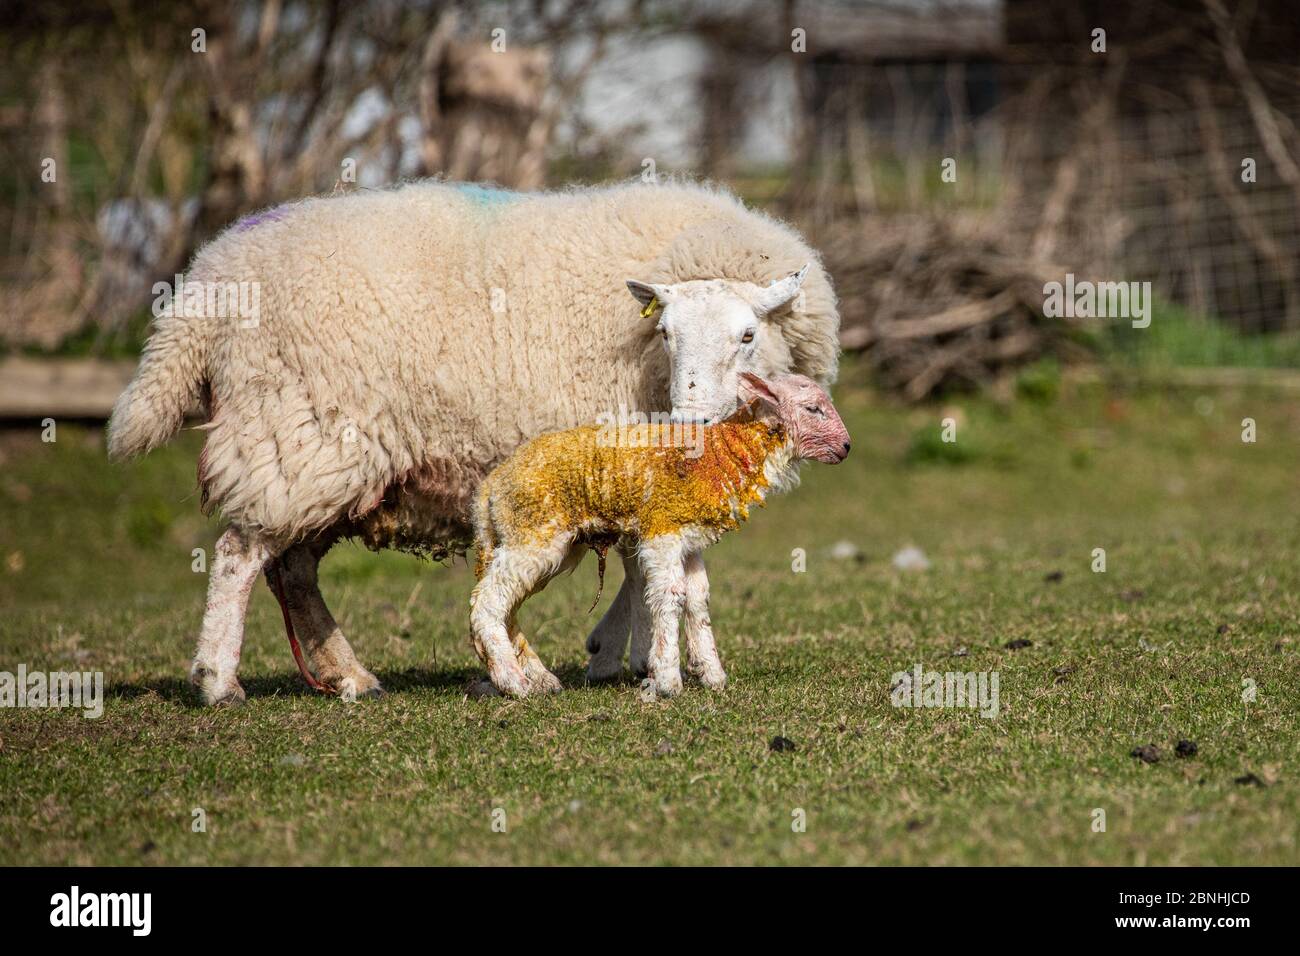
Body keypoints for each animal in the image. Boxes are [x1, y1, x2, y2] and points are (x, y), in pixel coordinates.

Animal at [470, 372, 851, 698]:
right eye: (813, 408)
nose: (847, 446)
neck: (717, 459)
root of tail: (489, 488)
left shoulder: (691, 539)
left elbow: (698, 598)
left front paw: (710, 673)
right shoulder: (661, 530)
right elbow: (670, 595)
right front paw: (667, 679)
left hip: (532, 539)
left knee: (506, 607)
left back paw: (538, 678)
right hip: (532, 532)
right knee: (487, 602)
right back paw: (513, 682)